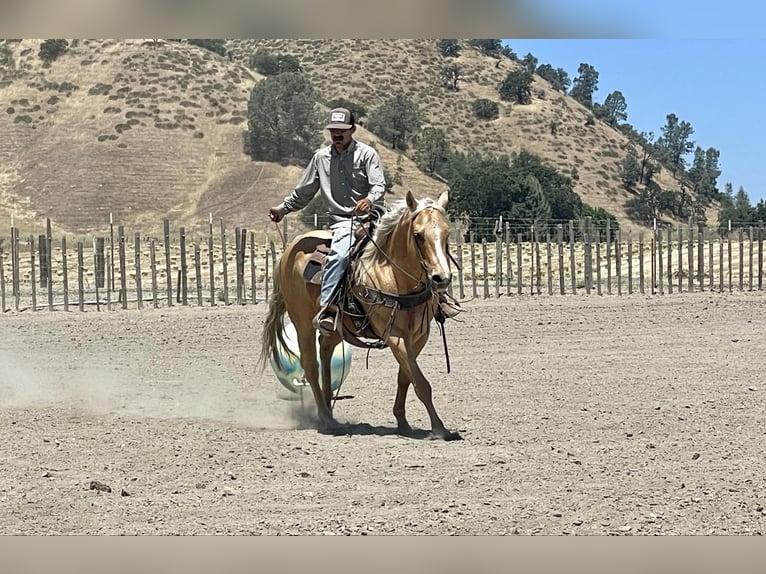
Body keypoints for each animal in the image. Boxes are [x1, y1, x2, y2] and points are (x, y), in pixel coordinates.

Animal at [260, 189, 461, 440]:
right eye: (418, 235)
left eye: (447, 233)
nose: (441, 278)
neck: (393, 275)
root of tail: (290, 249)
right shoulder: (394, 335)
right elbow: (421, 383)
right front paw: (439, 428)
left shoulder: (419, 336)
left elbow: (406, 376)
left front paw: (402, 422)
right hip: (302, 322)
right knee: (310, 365)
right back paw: (326, 418)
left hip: (338, 326)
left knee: (325, 349)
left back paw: (329, 409)